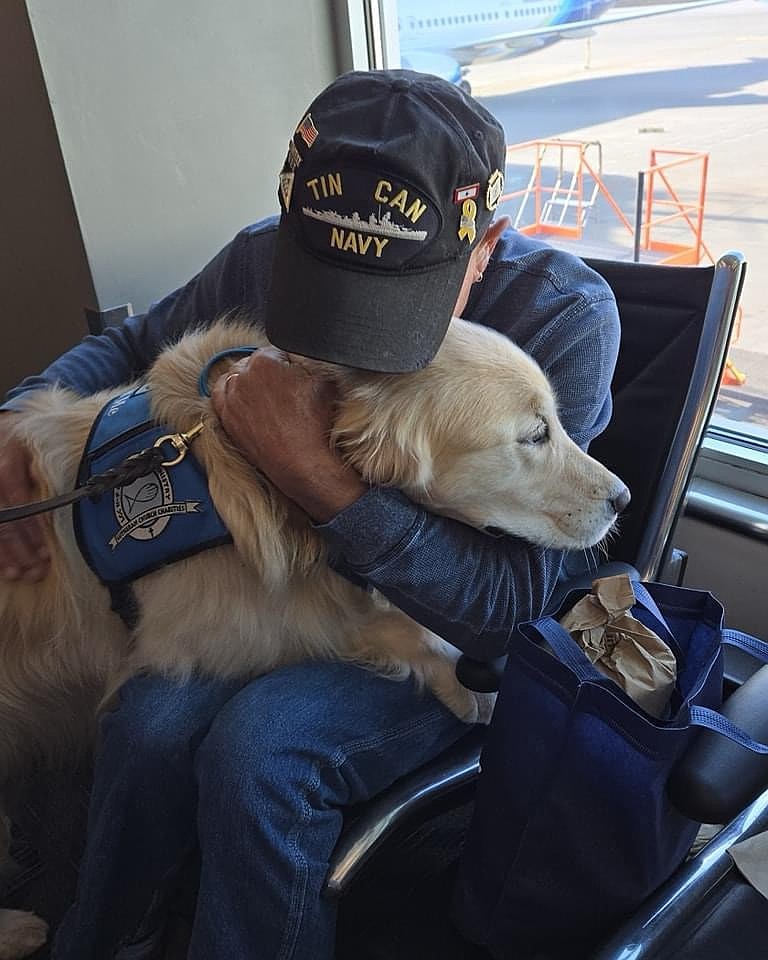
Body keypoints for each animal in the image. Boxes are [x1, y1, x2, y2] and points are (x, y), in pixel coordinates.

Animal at [0, 316, 628, 952]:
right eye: (533, 435)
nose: (622, 499)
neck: (238, 464)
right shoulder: (209, 633)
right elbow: (348, 618)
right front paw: (467, 679)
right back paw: (20, 928)